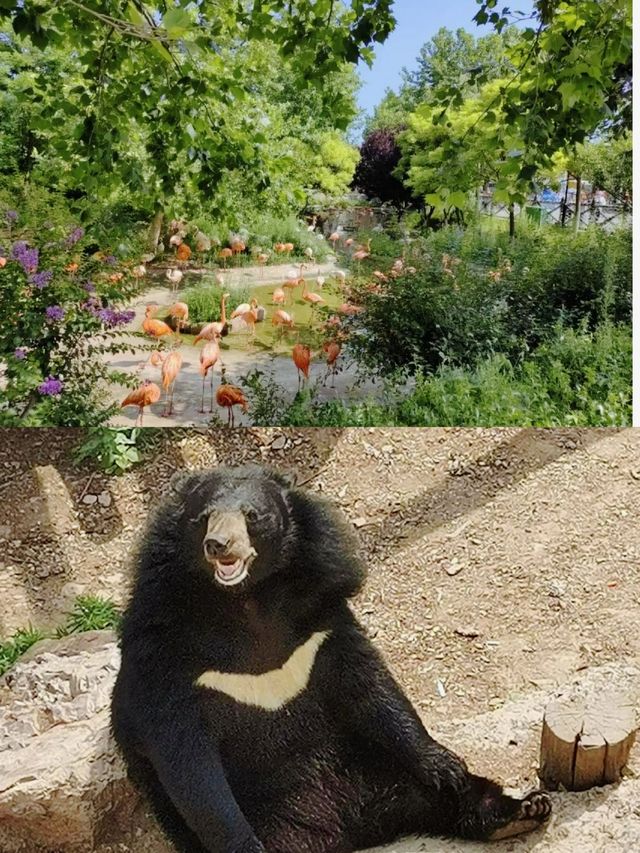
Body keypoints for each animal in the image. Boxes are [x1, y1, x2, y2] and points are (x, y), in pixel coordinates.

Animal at [111, 466, 552, 852]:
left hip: (373, 763)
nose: (219, 545)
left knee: (446, 794)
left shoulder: (318, 619)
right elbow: (188, 760)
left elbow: (370, 686)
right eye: (202, 519)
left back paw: (522, 810)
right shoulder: (166, 655)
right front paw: (243, 844)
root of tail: (346, 827)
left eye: (252, 516)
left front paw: (445, 765)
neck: (246, 601)